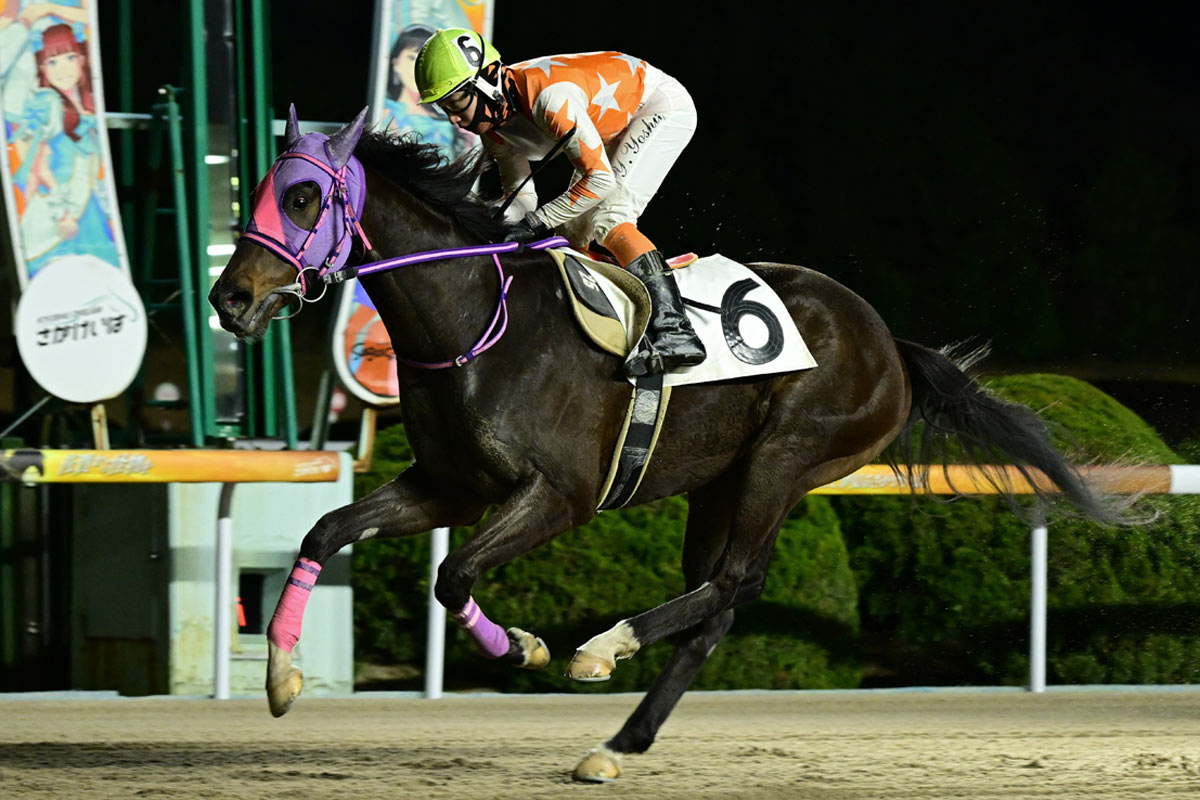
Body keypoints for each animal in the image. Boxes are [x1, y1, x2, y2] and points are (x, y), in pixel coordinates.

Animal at [210, 108, 1120, 783]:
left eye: (301, 198)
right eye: (258, 191)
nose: (230, 298)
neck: (473, 320)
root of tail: (890, 342)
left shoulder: (560, 495)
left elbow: (453, 572)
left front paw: (530, 646)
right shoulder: (449, 485)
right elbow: (327, 531)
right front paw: (281, 677)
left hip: (785, 460)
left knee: (734, 582)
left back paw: (602, 652)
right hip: (719, 483)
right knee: (715, 606)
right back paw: (619, 744)